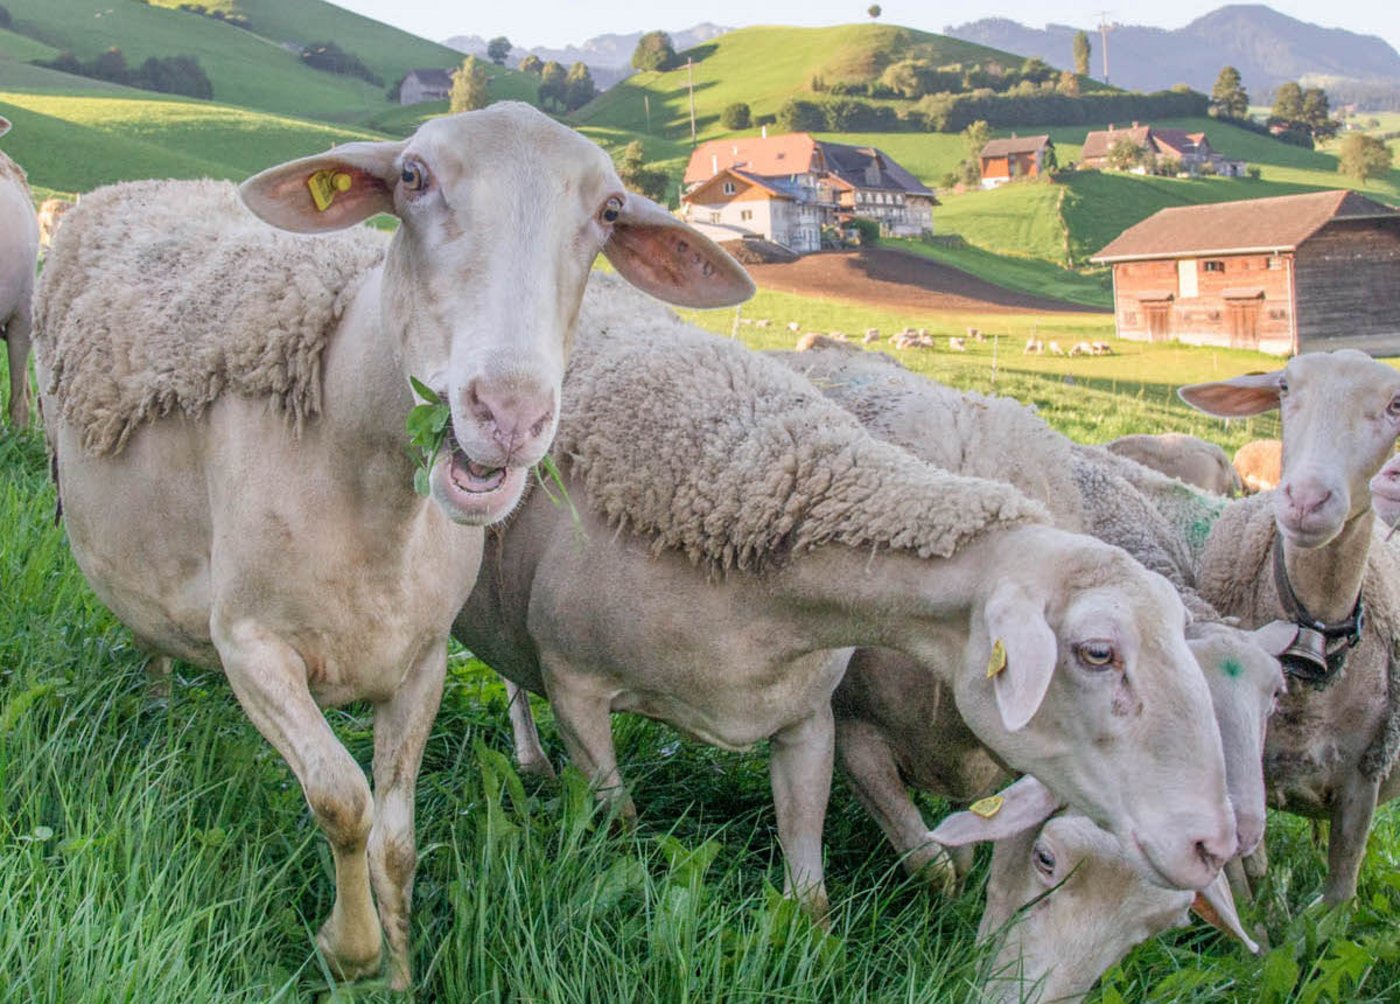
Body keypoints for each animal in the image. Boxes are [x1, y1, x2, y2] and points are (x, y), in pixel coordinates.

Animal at [33, 104, 753, 989]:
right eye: (412, 176)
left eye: (612, 211)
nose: (509, 414)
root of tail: (144, 183)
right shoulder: (249, 646)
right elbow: (343, 802)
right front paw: (352, 951)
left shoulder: (423, 661)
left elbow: (397, 842)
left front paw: (401, 974)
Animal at [1181, 351, 1400, 906]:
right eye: (1283, 387)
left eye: (1396, 404)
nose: (1306, 498)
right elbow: (1245, 891)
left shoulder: (1364, 780)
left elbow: (1339, 895)